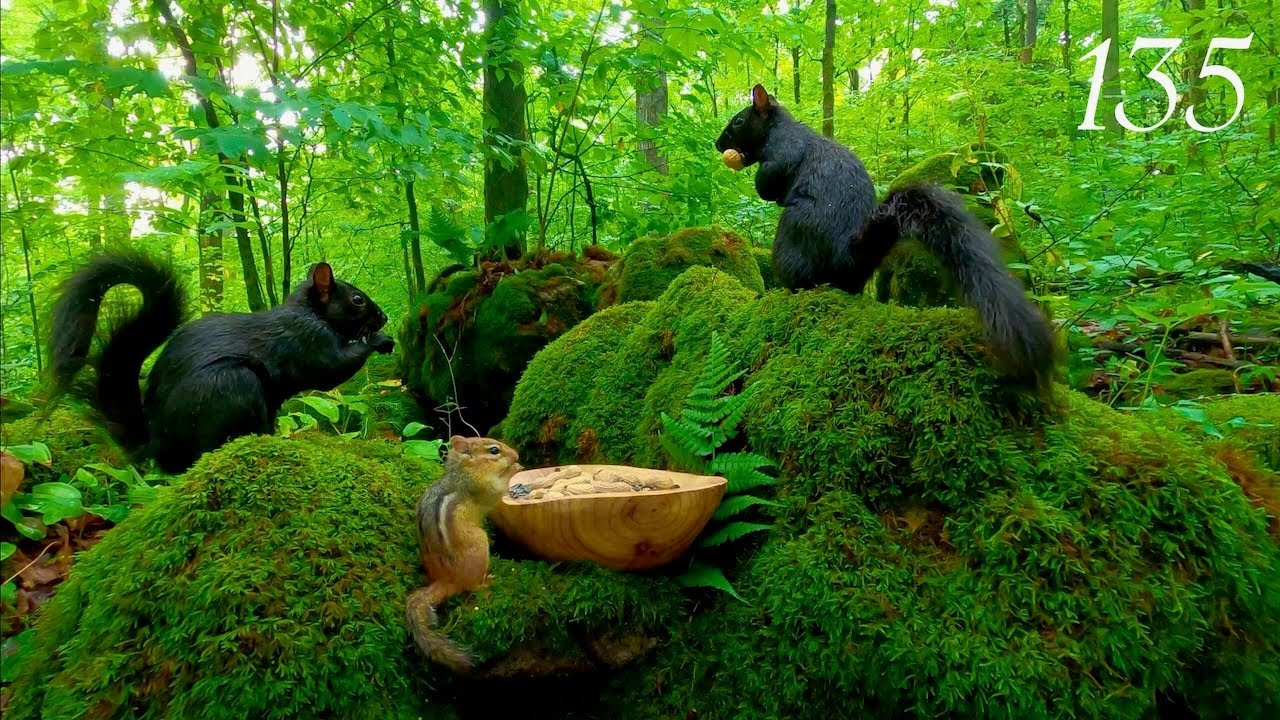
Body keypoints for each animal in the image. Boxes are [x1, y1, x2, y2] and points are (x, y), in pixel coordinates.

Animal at [48, 249, 395, 473]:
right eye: (357, 299)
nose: (384, 317)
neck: (309, 310)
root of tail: (157, 445)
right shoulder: (308, 338)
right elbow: (333, 369)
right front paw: (380, 340)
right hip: (231, 385)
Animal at [406, 435, 521, 674]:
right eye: (494, 450)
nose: (516, 455)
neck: (461, 470)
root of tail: (447, 579)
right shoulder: (484, 487)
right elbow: (498, 490)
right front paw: (516, 468)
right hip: (481, 542)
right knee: (472, 587)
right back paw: (486, 581)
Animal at [716, 84, 1057, 388]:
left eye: (739, 121)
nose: (719, 146)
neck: (780, 127)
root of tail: (850, 258)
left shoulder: (783, 153)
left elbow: (769, 181)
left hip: (792, 235)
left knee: (802, 282)